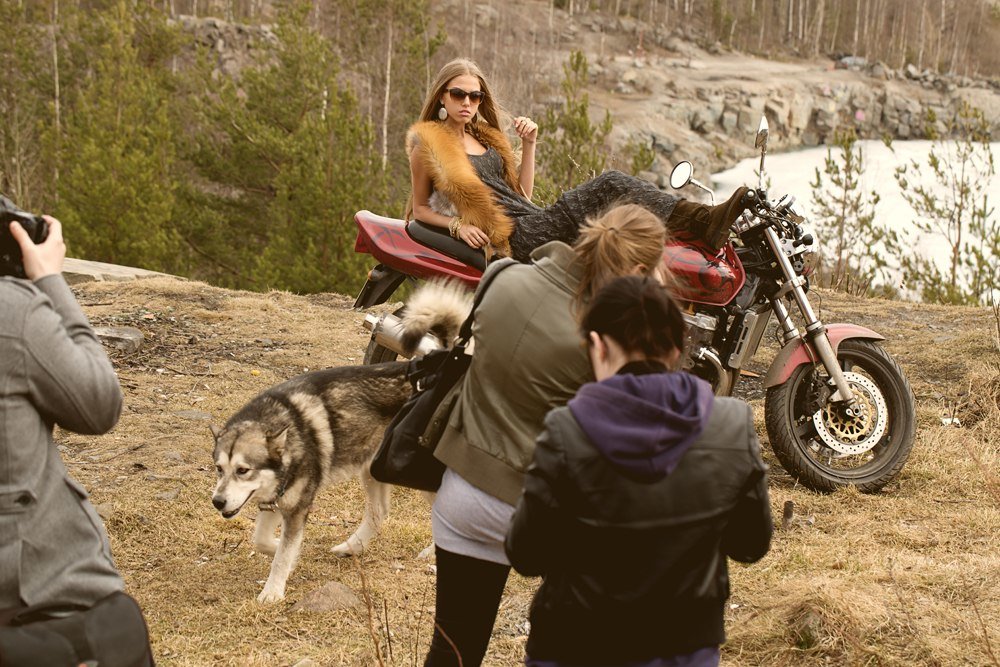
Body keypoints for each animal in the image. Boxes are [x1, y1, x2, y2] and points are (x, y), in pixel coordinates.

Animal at [210, 282, 472, 604]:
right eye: (219, 469)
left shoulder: (296, 508)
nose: (217, 501)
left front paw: (272, 591)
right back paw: (351, 547)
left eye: (243, 470)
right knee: (378, 513)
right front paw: (287, 555)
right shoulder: (275, 501)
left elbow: (283, 554)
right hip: (373, 469)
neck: (290, 428)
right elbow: (262, 541)